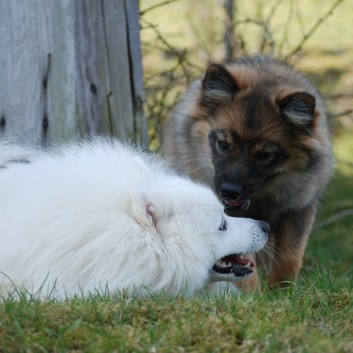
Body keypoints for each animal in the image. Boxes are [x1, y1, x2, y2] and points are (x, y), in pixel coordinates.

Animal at [162, 55, 332, 288]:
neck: (260, 196)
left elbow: (289, 257)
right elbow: (242, 262)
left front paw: (280, 290)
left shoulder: (298, 209)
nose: (229, 192)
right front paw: (253, 294)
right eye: (223, 144)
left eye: (263, 155)